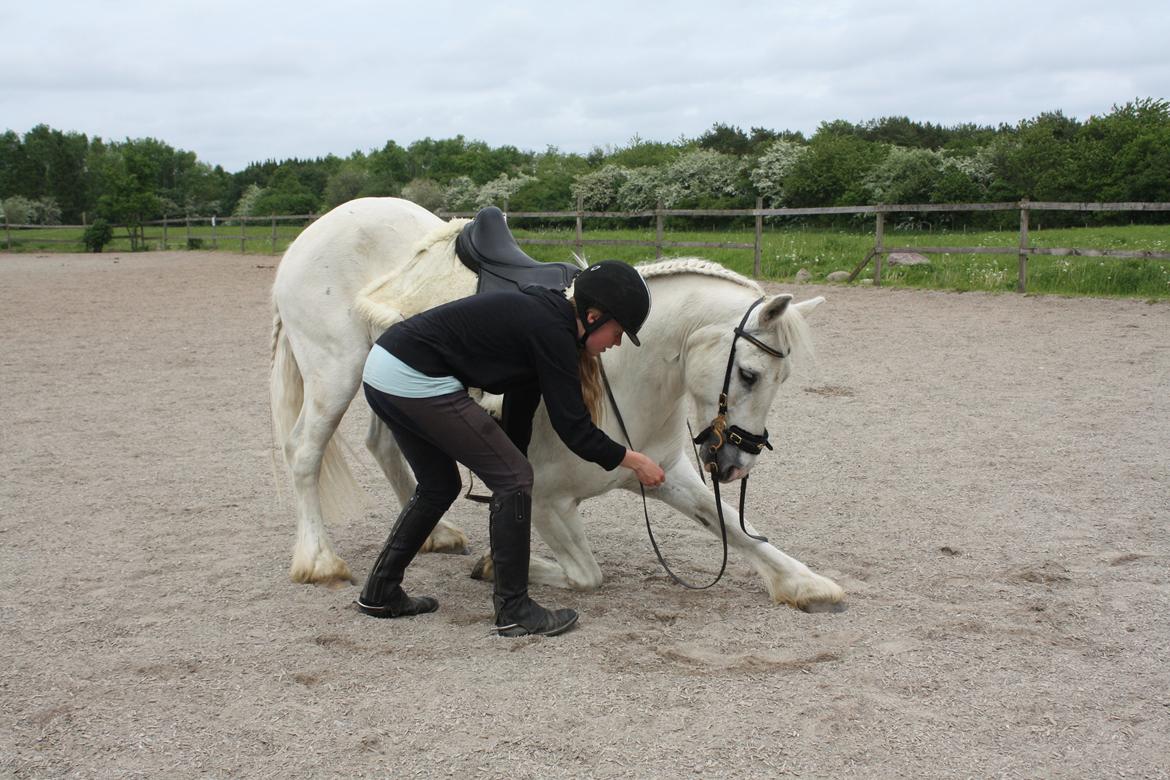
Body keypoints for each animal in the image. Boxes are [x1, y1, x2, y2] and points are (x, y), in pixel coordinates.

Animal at [270, 195, 847, 608]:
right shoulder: (549, 501)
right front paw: (495, 566)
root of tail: (314, 231)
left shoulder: (665, 473)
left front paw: (807, 584)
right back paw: (319, 561)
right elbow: (586, 575)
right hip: (335, 373)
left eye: (783, 377)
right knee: (303, 453)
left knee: (387, 449)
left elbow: (732, 525)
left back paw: (436, 534)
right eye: (749, 374)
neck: (621, 374)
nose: (735, 463)